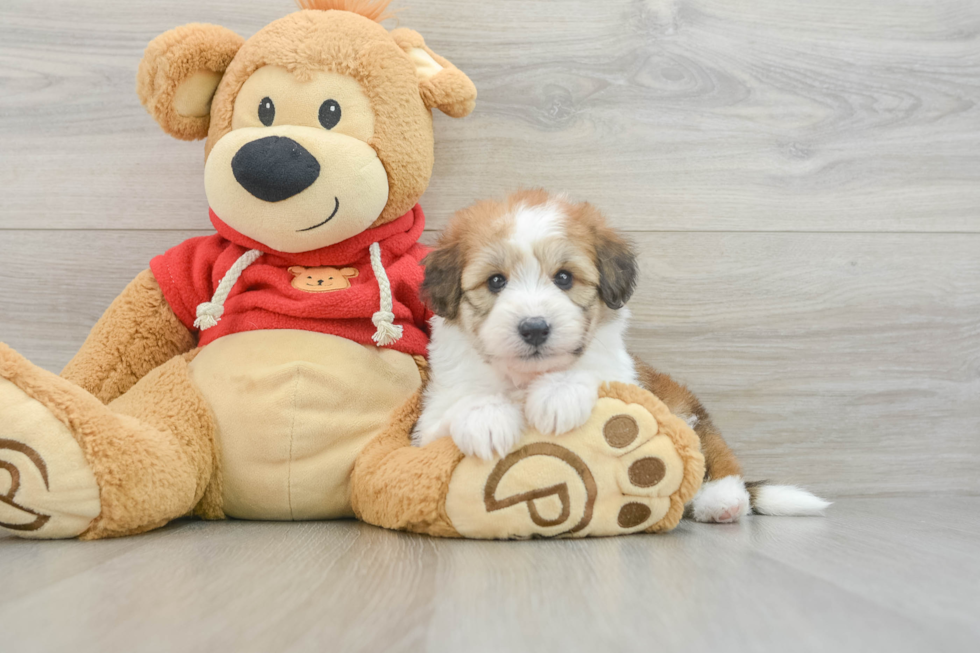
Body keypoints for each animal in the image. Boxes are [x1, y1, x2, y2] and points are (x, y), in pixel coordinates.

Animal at [412, 187, 828, 520]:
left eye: (564, 278)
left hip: (684, 410)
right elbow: (459, 407)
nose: (534, 327)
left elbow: (593, 379)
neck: (527, 377)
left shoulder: (627, 382)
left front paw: (559, 395)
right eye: (496, 281)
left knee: (714, 455)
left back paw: (722, 501)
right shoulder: (430, 422)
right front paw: (487, 419)